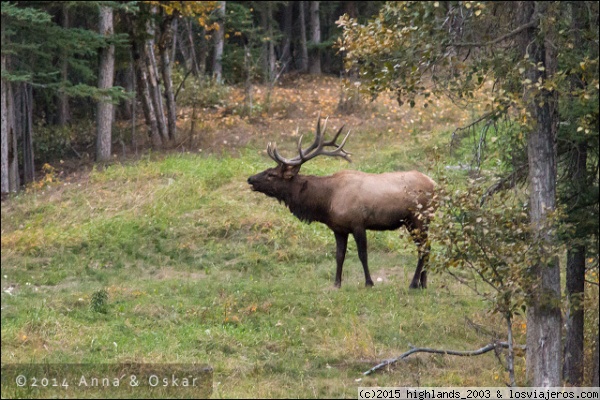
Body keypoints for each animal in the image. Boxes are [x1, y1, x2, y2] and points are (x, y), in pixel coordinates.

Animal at [246, 115, 438, 288]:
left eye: (271, 174)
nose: (250, 179)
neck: (327, 202)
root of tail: (435, 185)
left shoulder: (358, 223)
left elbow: (362, 254)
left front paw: (369, 282)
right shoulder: (338, 228)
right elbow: (339, 255)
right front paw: (337, 283)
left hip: (418, 218)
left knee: (423, 248)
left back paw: (414, 283)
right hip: (414, 222)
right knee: (426, 247)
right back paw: (423, 283)